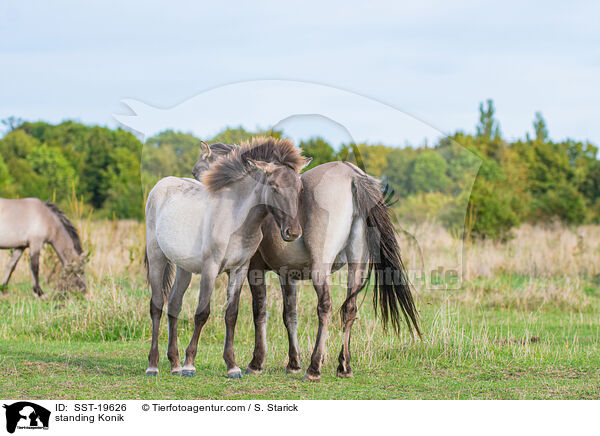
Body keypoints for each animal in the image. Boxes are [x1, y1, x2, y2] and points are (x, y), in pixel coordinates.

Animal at [144, 137, 310, 378]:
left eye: (299, 188)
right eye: (274, 187)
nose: (293, 232)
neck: (235, 219)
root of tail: (160, 185)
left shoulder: (240, 269)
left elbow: (231, 314)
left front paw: (232, 366)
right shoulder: (210, 268)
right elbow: (202, 313)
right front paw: (190, 364)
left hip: (184, 268)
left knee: (174, 305)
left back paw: (174, 364)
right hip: (157, 258)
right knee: (156, 306)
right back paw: (153, 365)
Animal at [195, 145, 420, 380]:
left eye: (197, 171)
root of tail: (353, 175)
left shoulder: (253, 270)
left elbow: (260, 312)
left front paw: (256, 363)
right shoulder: (287, 274)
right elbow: (290, 315)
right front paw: (293, 363)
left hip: (321, 267)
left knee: (325, 306)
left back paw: (314, 367)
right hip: (357, 264)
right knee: (349, 308)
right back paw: (344, 366)